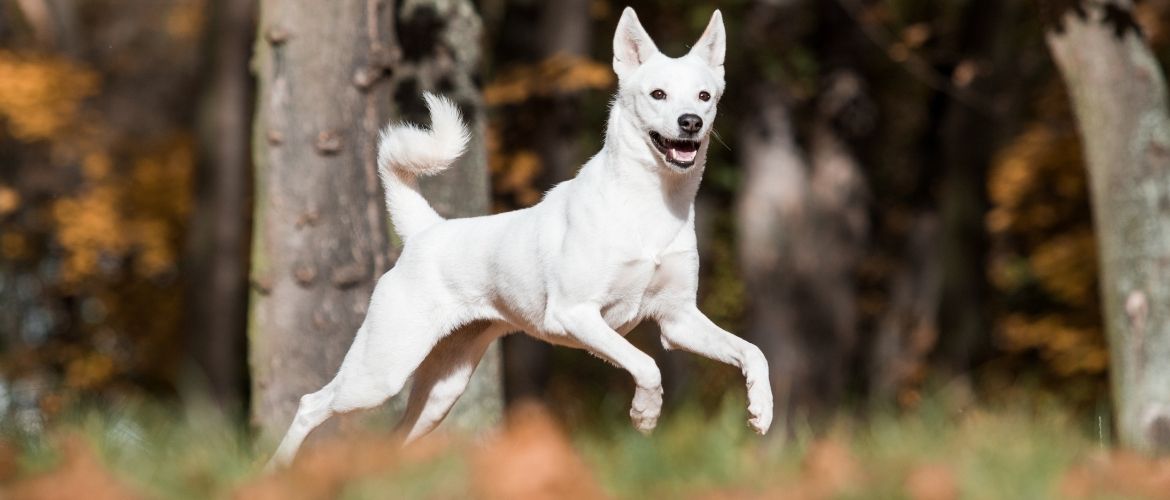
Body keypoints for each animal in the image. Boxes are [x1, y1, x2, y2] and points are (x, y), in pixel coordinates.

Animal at [269, 6, 772, 470]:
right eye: (658, 94)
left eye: (704, 96)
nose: (690, 122)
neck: (649, 207)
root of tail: (426, 230)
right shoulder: (576, 314)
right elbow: (645, 365)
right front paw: (645, 415)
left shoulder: (677, 320)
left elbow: (753, 352)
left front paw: (760, 410)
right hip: (380, 371)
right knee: (311, 404)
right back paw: (277, 469)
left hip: (442, 390)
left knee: (396, 436)